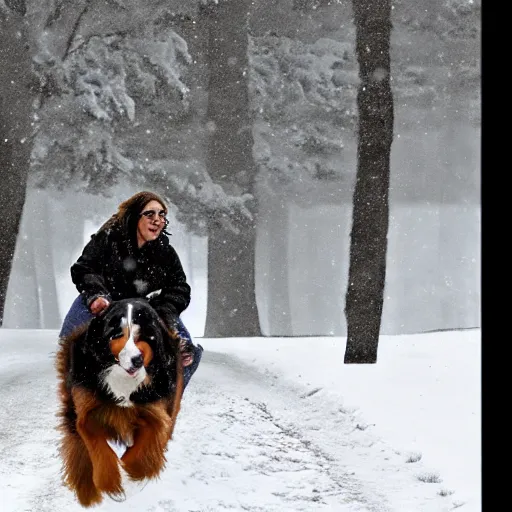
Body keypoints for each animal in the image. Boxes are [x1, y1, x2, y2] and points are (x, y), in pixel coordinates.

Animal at [56, 298, 184, 506]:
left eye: (144, 336)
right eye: (117, 334)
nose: (137, 360)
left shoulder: (155, 409)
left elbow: (148, 443)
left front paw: (135, 476)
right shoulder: (86, 406)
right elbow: (96, 444)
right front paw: (110, 484)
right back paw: (86, 490)